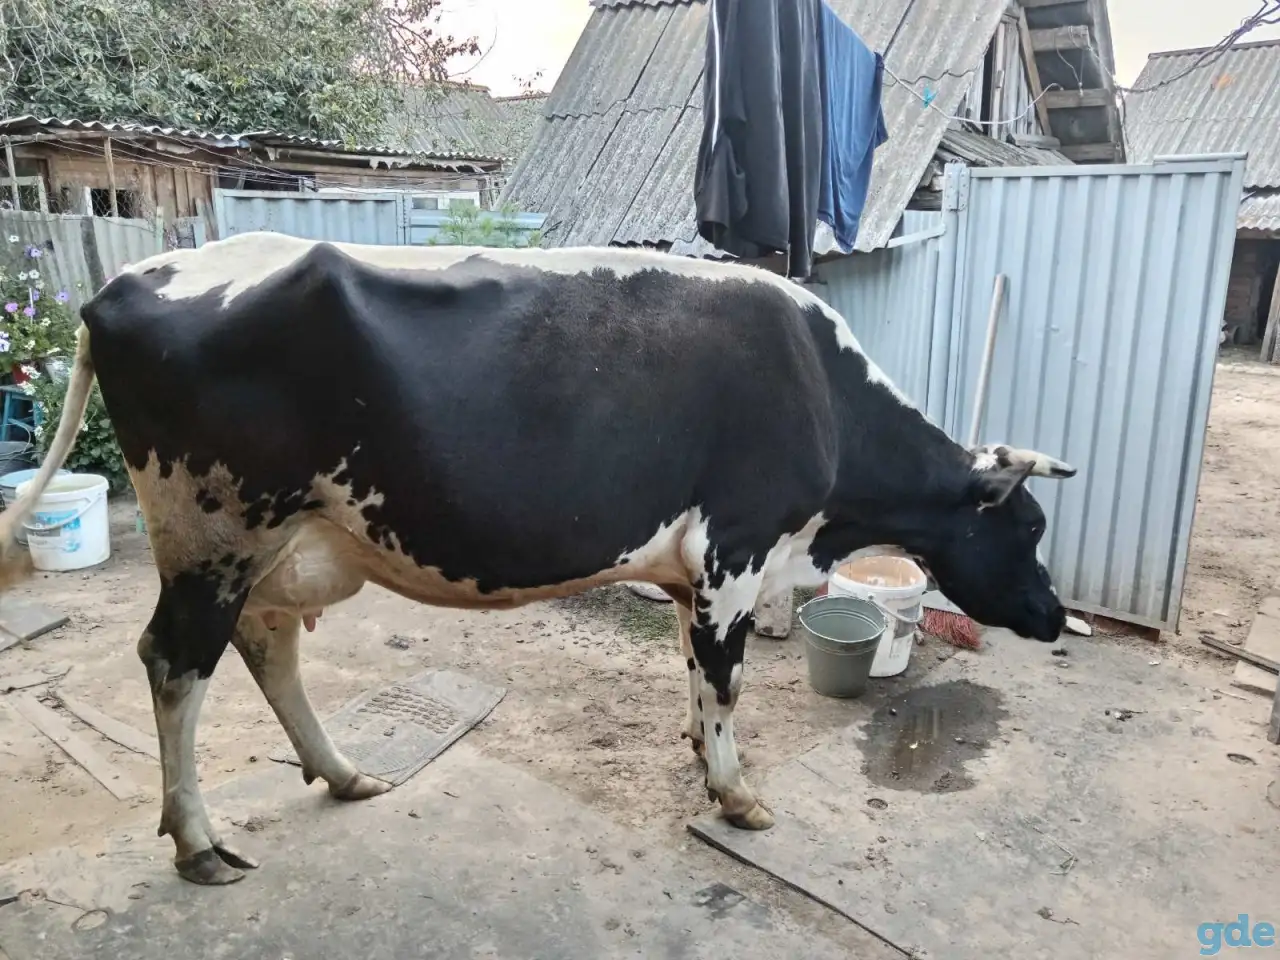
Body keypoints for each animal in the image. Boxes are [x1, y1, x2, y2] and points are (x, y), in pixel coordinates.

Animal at [0, 233, 1076, 886]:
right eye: (1027, 528)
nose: (1057, 617)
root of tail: (124, 282)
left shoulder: (696, 572)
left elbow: (695, 671)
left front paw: (698, 751)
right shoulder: (736, 548)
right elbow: (728, 681)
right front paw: (735, 794)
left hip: (278, 544)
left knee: (268, 650)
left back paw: (343, 775)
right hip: (214, 537)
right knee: (176, 665)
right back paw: (198, 841)